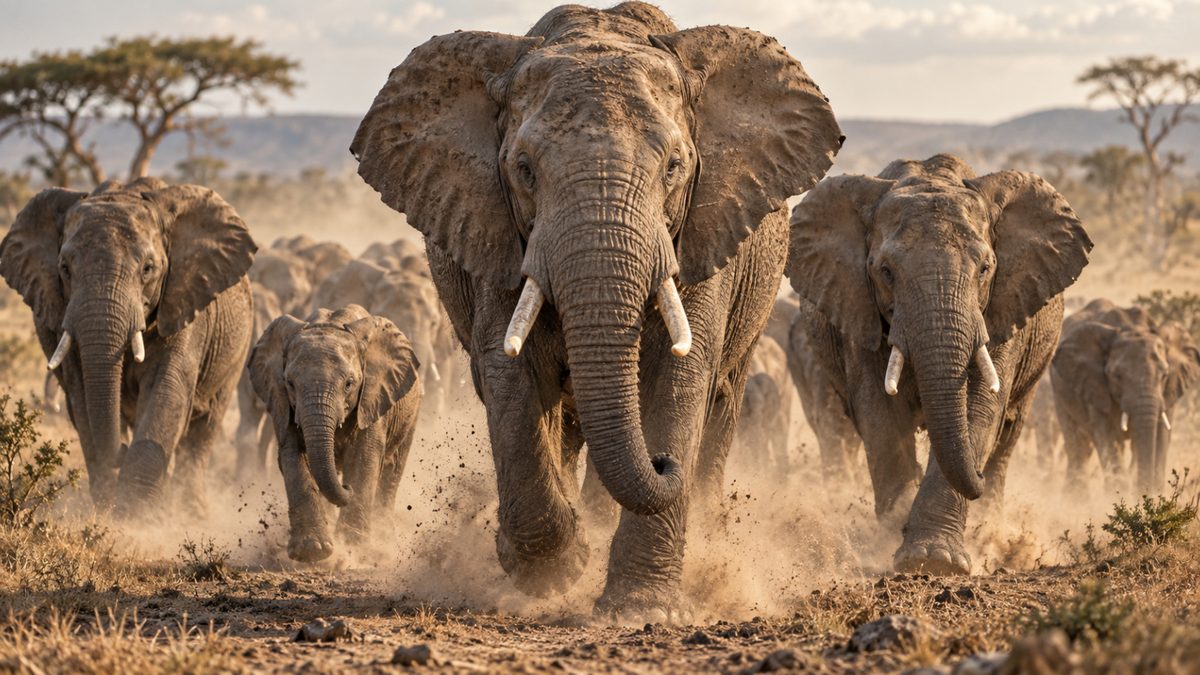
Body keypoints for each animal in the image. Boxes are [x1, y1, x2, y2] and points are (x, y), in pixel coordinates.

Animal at [0, 177, 256, 513]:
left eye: (148, 268)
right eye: (64, 268)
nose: (121, 450)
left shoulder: (185, 306)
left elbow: (166, 391)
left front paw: (138, 515)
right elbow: (82, 397)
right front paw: (110, 509)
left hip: (237, 350)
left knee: (206, 426)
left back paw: (191, 511)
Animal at [248, 304, 422, 562]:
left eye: (349, 384)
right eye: (290, 383)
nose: (346, 488)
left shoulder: (372, 397)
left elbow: (363, 458)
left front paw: (353, 550)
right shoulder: (283, 404)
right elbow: (292, 457)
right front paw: (312, 551)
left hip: (410, 412)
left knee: (392, 471)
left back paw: (384, 544)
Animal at [351, 1, 841, 616]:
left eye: (675, 167)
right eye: (524, 169)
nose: (663, 463)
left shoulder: (700, 233)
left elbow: (680, 376)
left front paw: (643, 609)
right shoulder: (500, 233)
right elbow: (511, 378)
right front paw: (554, 573)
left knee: (722, 396)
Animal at [787, 154, 1092, 575]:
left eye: (986, 268)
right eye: (885, 271)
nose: (976, 475)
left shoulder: (1002, 308)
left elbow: (980, 409)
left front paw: (935, 561)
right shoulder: (858, 307)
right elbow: (880, 415)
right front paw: (897, 541)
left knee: (1008, 434)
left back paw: (990, 527)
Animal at [1051, 299, 1200, 494]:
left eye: (1165, 375)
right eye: (1117, 376)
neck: (1133, 329)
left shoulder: (1168, 393)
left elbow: (1161, 435)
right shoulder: (1094, 385)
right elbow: (1106, 437)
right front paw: (1116, 495)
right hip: (1058, 390)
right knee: (1077, 444)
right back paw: (1075, 497)